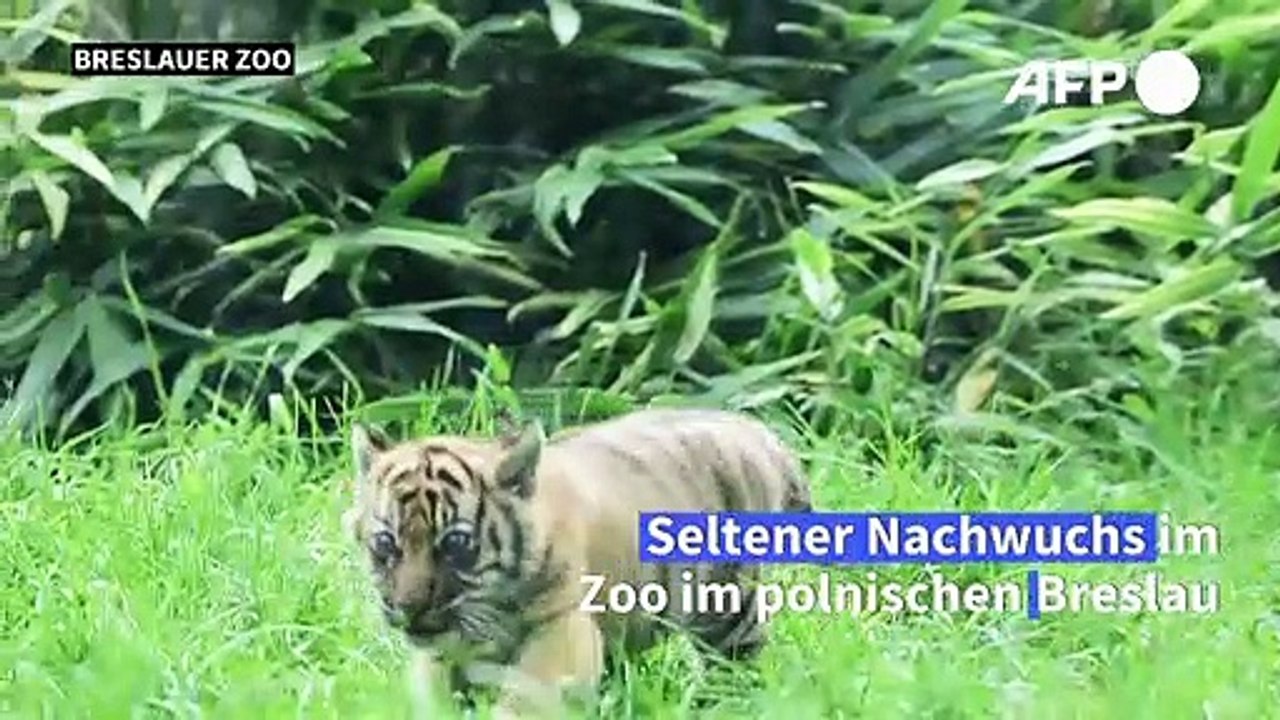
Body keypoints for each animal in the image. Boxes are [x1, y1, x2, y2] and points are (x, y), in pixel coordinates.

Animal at [344, 407, 813, 717]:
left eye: (456, 543)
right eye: (385, 544)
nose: (407, 608)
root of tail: (756, 430)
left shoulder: (561, 632)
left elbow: (526, 702)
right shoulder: (442, 656)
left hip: (729, 604)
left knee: (735, 661)